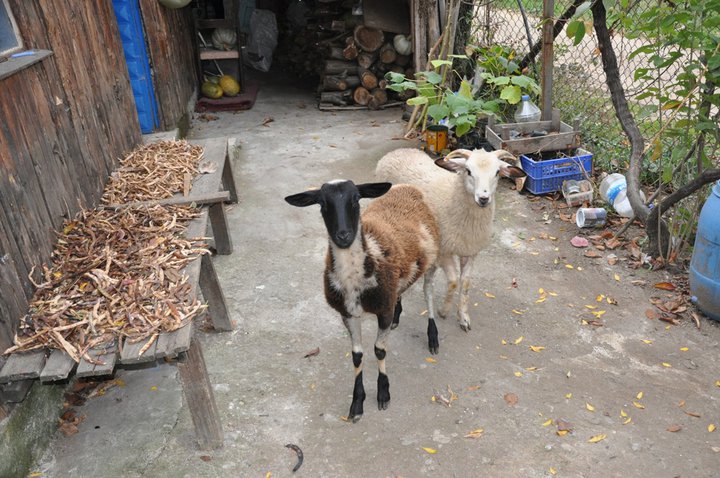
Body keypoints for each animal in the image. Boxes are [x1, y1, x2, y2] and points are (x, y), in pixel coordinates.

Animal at [286, 180, 442, 422]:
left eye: (356, 199)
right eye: (322, 204)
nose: (343, 235)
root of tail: (407, 187)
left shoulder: (383, 310)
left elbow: (379, 350)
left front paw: (383, 393)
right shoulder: (348, 313)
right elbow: (357, 356)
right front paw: (357, 403)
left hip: (432, 259)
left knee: (428, 293)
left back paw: (433, 336)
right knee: (401, 292)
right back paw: (398, 316)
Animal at [376, 149, 524, 332]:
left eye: (497, 172)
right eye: (468, 171)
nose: (483, 198)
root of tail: (394, 152)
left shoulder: (470, 251)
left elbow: (465, 283)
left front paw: (463, 317)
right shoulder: (444, 250)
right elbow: (453, 282)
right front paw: (443, 311)